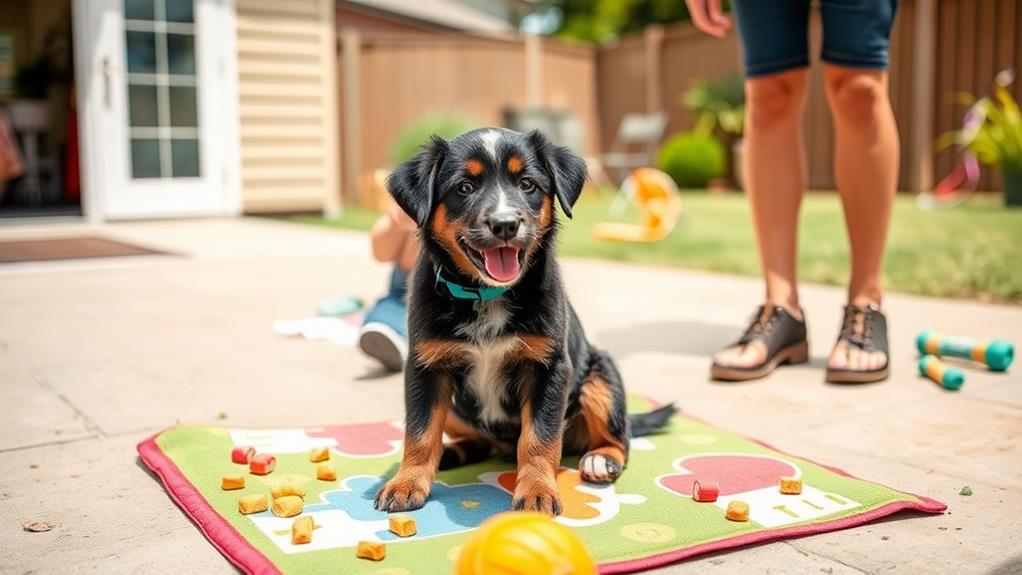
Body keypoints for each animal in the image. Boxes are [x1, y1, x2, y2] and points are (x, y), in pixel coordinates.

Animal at [372, 128, 674, 514]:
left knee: (620, 437)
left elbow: (538, 438)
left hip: (600, 377)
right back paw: (453, 452)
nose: (505, 224)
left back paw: (600, 459)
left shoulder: (548, 367)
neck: (488, 295)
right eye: (464, 187)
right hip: (455, 406)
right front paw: (407, 482)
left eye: (527, 184)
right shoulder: (427, 366)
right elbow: (421, 431)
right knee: (473, 438)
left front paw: (536, 491)